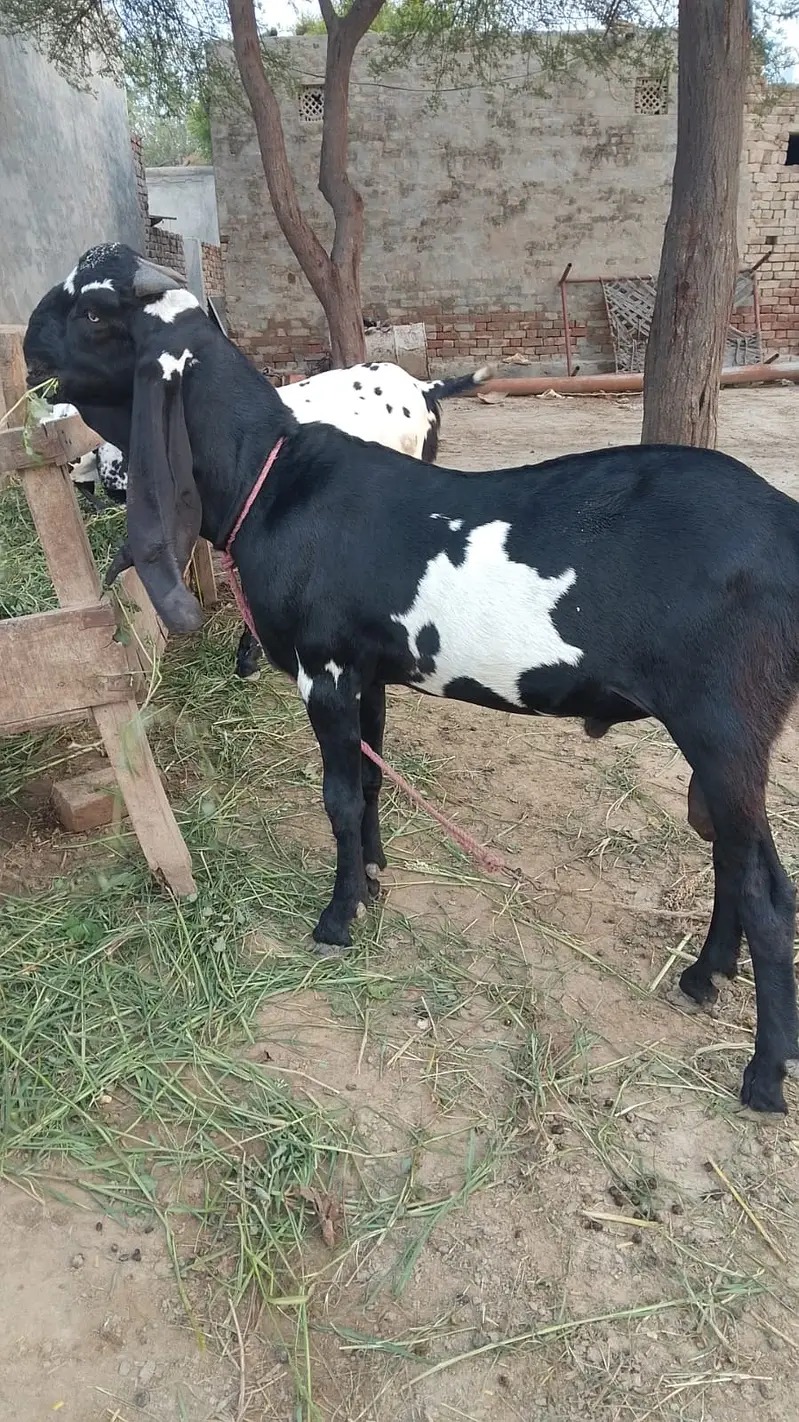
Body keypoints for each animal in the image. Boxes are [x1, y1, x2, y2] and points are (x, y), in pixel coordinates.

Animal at [24, 243, 799, 1115]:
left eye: (94, 313)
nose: (27, 342)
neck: (274, 477)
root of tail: (786, 527)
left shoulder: (323, 667)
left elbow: (336, 794)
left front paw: (336, 918)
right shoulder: (368, 671)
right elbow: (369, 778)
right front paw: (373, 875)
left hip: (724, 722)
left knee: (767, 892)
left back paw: (762, 1075)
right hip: (725, 735)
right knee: (738, 858)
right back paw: (702, 976)